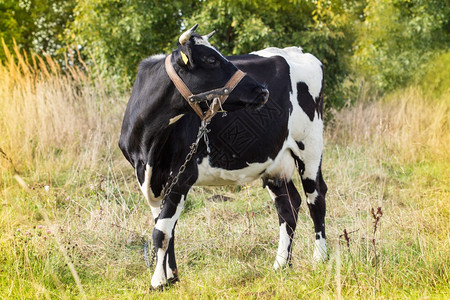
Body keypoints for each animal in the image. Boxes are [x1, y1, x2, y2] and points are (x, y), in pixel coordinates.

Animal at [118, 25, 326, 290]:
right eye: (211, 59)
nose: (262, 90)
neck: (148, 146)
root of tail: (297, 51)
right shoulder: (149, 178)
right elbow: (165, 228)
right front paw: (171, 276)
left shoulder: (181, 176)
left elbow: (161, 232)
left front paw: (157, 282)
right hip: (275, 161)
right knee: (288, 206)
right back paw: (281, 264)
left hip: (309, 148)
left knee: (316, 199)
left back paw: (320, 258)